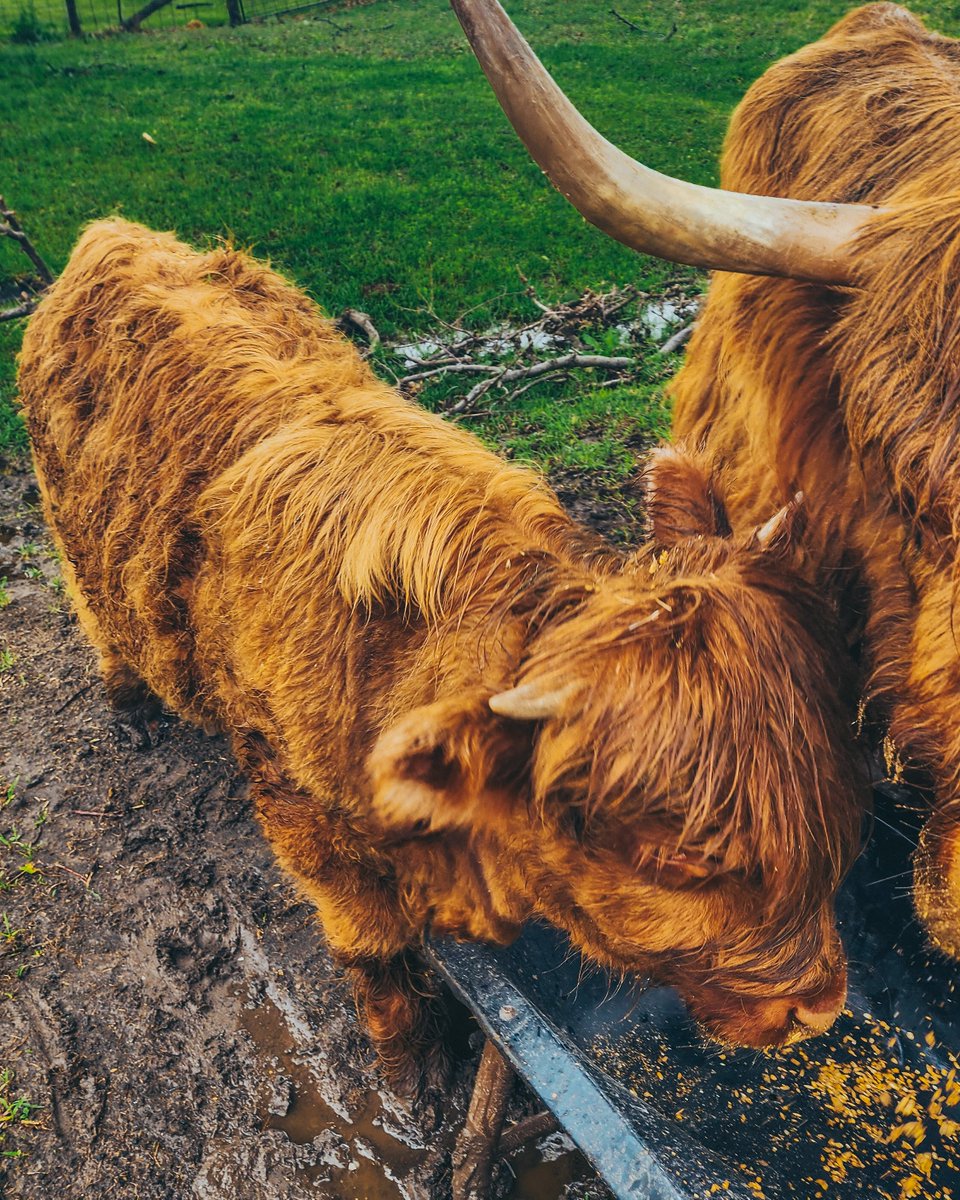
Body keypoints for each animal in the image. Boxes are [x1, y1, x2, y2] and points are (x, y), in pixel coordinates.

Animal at [16, 220, 864, 1084]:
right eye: (679, 860)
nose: (820, 1009)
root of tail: (112, 233)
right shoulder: (298, 809)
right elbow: (373, 946)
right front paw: (410, 1068)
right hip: (69, 529)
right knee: (96, 612)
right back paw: (128, 708)